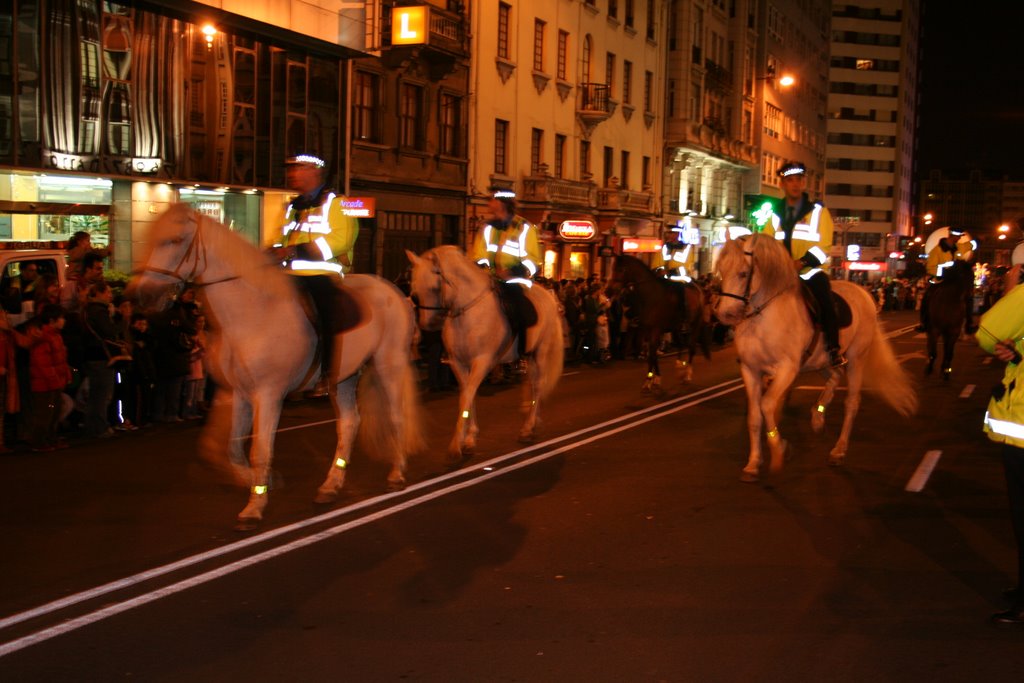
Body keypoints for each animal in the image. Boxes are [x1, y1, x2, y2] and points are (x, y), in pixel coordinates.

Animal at [130, 202, 421, 528]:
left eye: (175, 240)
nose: (141, 295)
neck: (252, 312)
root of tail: (396, 292)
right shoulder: (235, 393)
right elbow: (226, 447)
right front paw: (260, 482)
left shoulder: (268, 395)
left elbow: (259, 449)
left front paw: (254, 506)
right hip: (343, 378)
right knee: (349, 423)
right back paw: (330, 485)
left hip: (389, 364)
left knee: (396, 415)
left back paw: (396, 474)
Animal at [405, 245, 565, 458]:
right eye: (414, 289)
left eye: (434, 287)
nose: (427, 325)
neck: (467, 311)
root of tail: (549, 296)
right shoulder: (458, 363)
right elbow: (468, 394)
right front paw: (469, 437)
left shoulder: (481, 362)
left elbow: (466, 396)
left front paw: (457, 443)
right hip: (529, 356)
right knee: (532, 384)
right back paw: (533, 422)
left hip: (541, 351)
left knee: (539, 385)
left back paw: (528, 428)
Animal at [602, 254, 708, 393]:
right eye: (612, 268)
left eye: (621, 270)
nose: (607, 291)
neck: (651, 295)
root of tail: (698, 287)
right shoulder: (647, 331)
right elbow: (651, 355)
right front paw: (653, 379)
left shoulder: (656, 330)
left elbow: (652, 354)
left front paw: (651, 380)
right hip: (677, 327)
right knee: (681, 344)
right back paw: (679, 368)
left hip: (695, 324)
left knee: (691, 347)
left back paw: (687, 375)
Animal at [712, 235, 921, 481]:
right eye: (721, 271)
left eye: (744, 273)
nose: (724, 314)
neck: (763, 316)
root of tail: (863, 293)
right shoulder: (750, 369)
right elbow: (754, 417)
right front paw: (753, 463)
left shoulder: (787, 369)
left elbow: (767, 405)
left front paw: (780, 450)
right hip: (823, 361)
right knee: (834, 377)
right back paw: (818, 417)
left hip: (856, 358)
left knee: (851, 403)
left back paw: (838, 451)